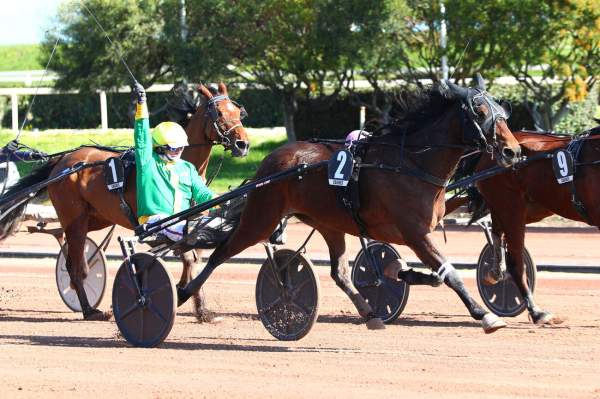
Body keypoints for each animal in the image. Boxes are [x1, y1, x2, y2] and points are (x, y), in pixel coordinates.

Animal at [0, 83, 248, 320]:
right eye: (218, 112)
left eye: (238, 112)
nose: (243, 144)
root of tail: (63, 161)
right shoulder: (161, 225)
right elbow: (188, 256)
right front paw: (182, 295)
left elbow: (194, 256)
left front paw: (199, 306)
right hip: (75, 218)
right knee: (75, 264)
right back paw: (90, 310)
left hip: (96, 218)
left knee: (72, 254)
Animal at [179, 76, 524, 332]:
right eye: (480, 112)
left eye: (503, 112)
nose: (513, 151)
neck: (411, 163)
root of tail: (270, 162)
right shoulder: (414, 233)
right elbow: (449, 273)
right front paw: (485, 315)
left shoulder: (413, 231)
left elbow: (431, 273)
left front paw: (401, 273)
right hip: (261, 218)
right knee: (220, 252)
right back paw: (185, 293)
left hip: (328, 224)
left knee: (339, 273)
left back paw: (370, 314)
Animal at [468, 128, 600, 324]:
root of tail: (488, 153)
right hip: (511, 208)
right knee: (515, 263)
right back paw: (536, 311)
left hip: (532, 209)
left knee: (497, 232)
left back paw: (494, 271)